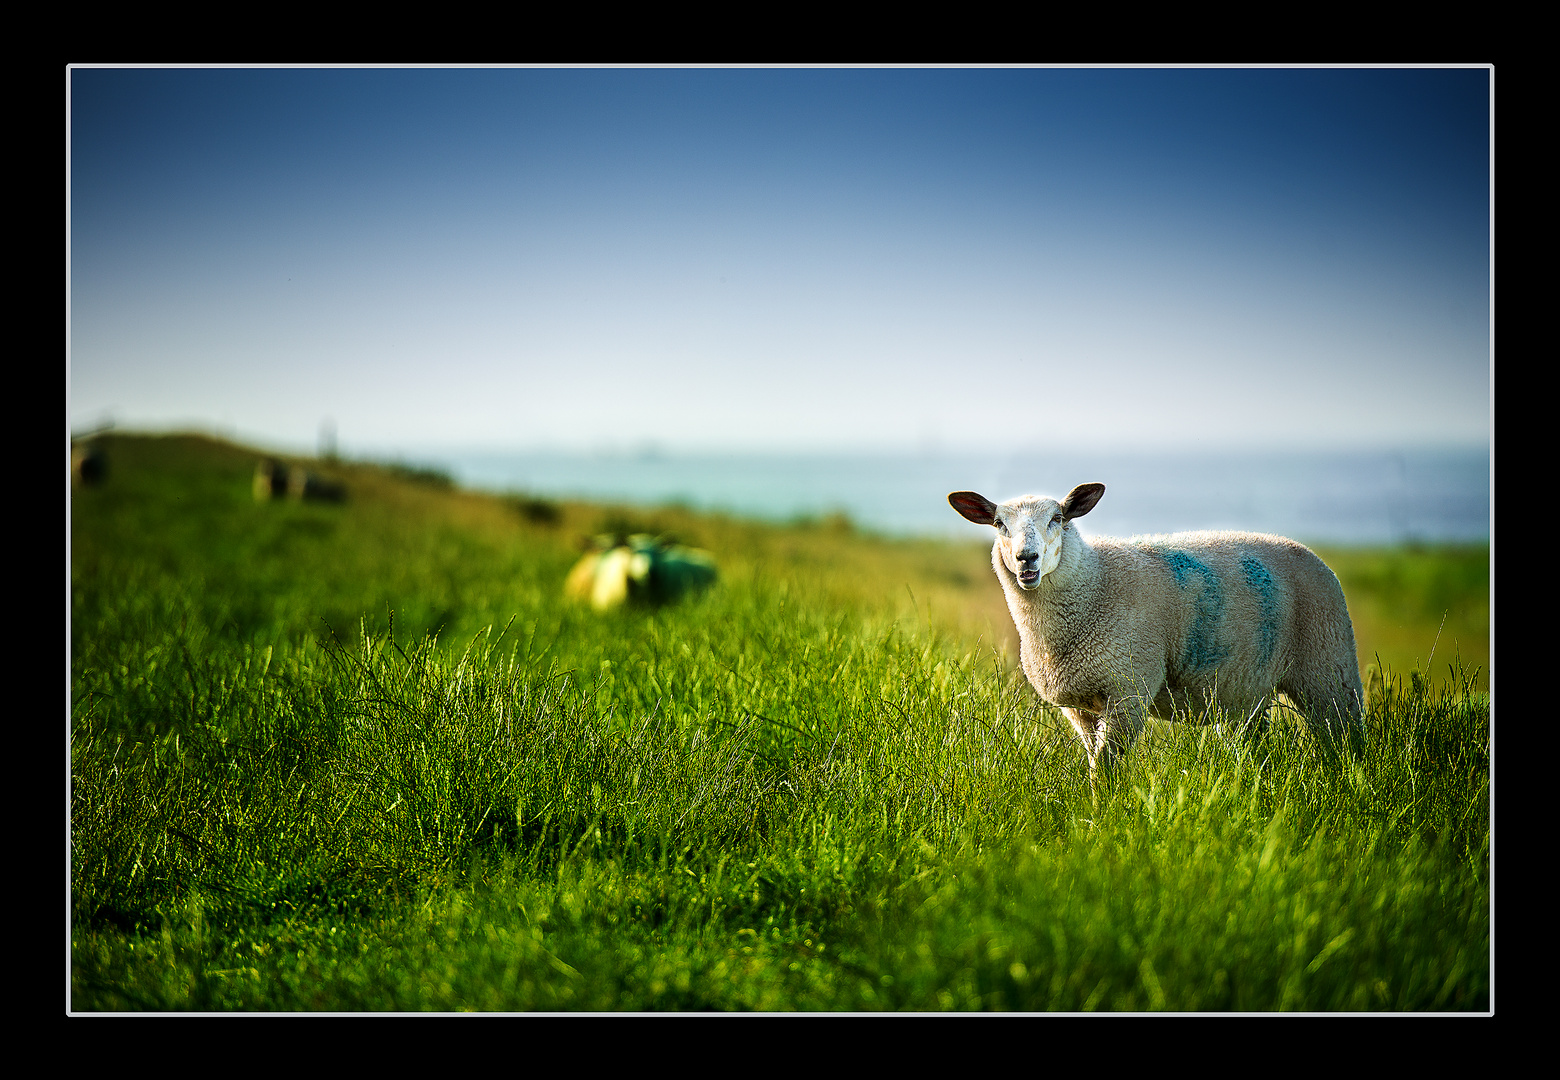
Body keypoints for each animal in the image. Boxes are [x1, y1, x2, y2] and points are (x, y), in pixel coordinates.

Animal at [942, 483, 1360, 780]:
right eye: (999, 524)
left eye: (1058, 518)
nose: (1026, 559)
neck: (1093, 582)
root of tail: (1312, 556)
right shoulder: (1078, 706)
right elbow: (1094, 763)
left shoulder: (1128, 687)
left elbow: (1106, 771)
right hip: (1246, 691)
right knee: (1258, 750)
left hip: (1328, 665)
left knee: (1345, 740)